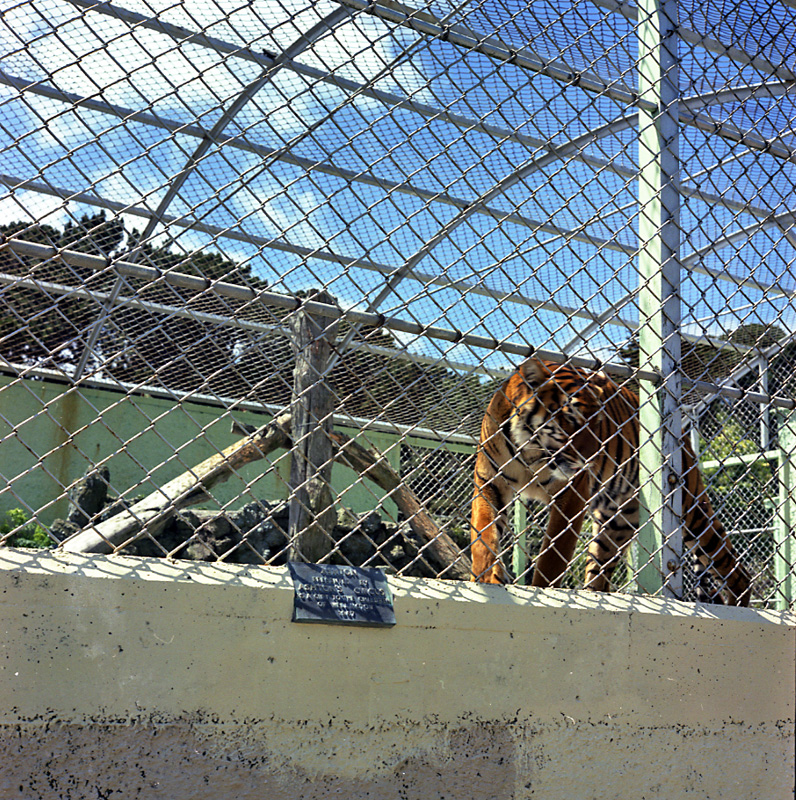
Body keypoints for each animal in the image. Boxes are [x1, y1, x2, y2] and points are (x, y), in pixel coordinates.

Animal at [469, 357, 752, 606]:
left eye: (598, 422)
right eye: (570, 417)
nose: (592, 459)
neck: (531, 451)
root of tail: (681, 433)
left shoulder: (571, 493)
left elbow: (553, 556)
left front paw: (543, 591)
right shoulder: (489, 482)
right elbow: (483, 532)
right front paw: (485, 579)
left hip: (693, 513)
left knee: (737, 570)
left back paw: (738, 607)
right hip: (616, 524)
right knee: (600, 578)